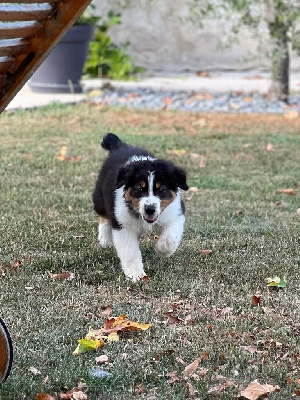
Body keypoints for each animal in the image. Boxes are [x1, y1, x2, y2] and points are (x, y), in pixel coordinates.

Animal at [92, 134, 189, 282]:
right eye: (139, 189)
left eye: (161, 189)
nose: (150, 209)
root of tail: (120, 146)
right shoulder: (122, 224)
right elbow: (130, 252)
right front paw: (136, 274)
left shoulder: (175, 212)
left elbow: (171, 237)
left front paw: (162, 250)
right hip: (100, 195)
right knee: (103, 214)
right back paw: (105, 238)